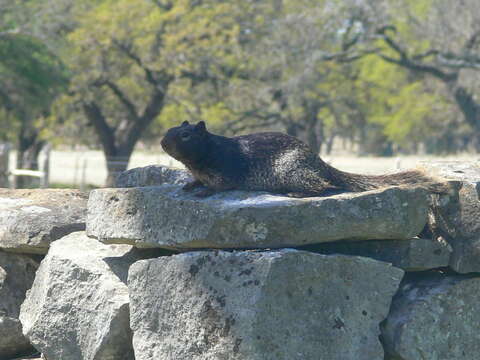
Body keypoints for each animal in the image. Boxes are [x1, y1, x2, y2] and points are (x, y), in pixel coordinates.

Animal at [160, 121, 446, 200]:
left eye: (185, 134)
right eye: (170, 128)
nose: (162, 142)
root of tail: (321, 163)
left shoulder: (225, 170)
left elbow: (219, 185)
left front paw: (203, 191)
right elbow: (195, 180)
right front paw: (189, 185)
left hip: (292, 171)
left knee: (323, 186)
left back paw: (296, 194)